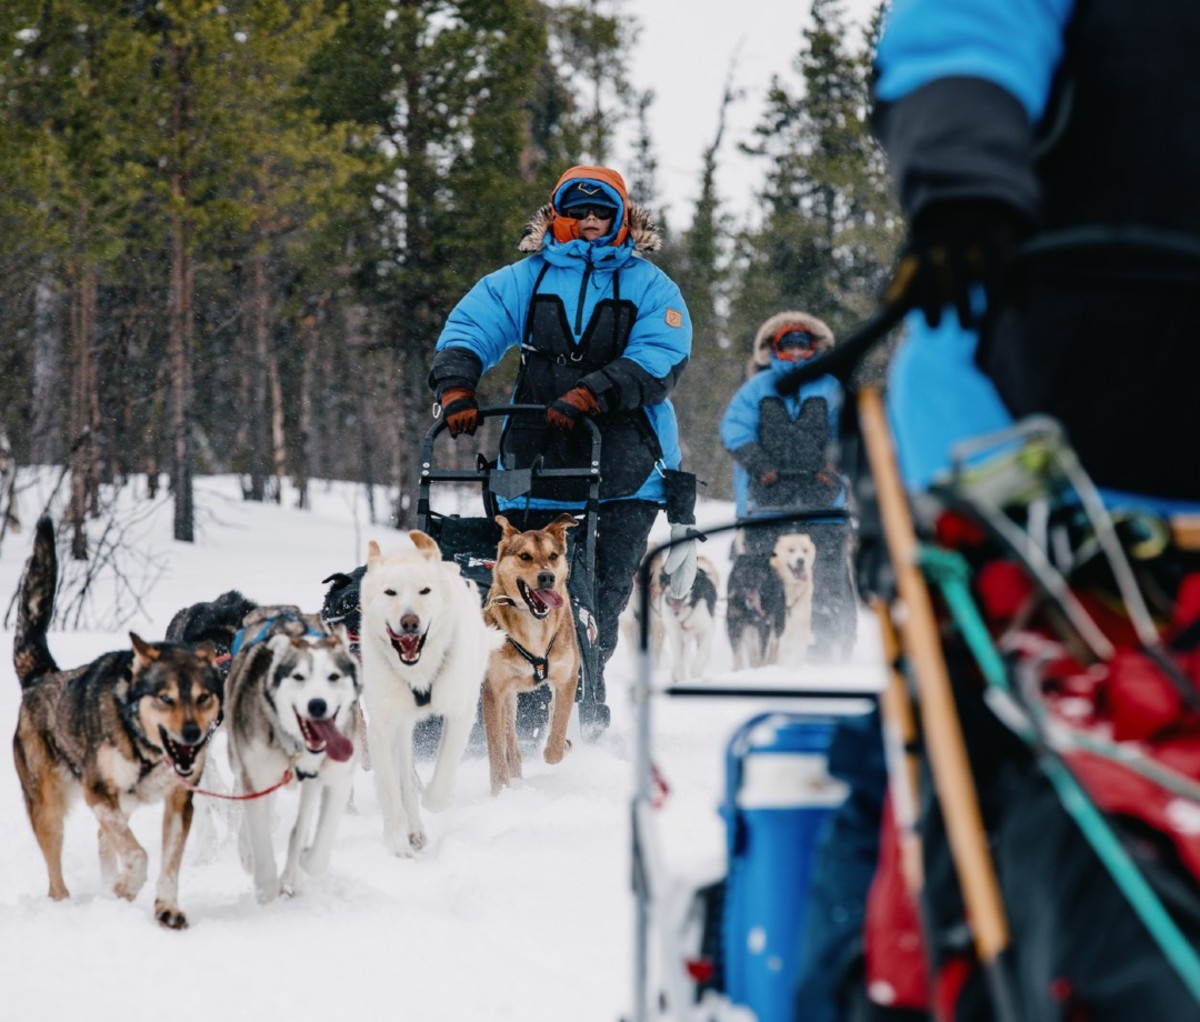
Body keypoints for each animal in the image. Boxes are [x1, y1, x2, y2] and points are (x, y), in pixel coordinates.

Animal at [11, 518, 224, 926]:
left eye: (203, 697)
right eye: (165, 698)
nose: (192, 734)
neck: (147, 748)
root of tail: (42, 677)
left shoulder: (179, 801)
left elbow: (168, 862)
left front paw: (166, 907)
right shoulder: (98, 791)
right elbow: (139, 855)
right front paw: (127, 888)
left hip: (114, 803)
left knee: (103, 839)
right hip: (50, 807)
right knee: (57, 872)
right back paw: (68, 903)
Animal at [357, 530, 504, 858]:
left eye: (424, 591)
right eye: (390, 592)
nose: (410, 622)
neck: (419, 673)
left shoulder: (461, 712)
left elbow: (443, 772)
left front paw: (436, 801)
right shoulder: (383, 727)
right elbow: (391, 789)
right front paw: (398, 842)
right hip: (400, 727)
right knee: (404, 778)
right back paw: (412, 829)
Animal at [477, 515, 580, 796]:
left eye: (553, 555)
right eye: (525, 556)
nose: (547, 577)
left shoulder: (567, 677)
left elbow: (558, 727)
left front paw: (557, 747)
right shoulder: (494, 690)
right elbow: (496, 748)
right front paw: (499, 791)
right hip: (507, 696)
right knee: (509, 737)